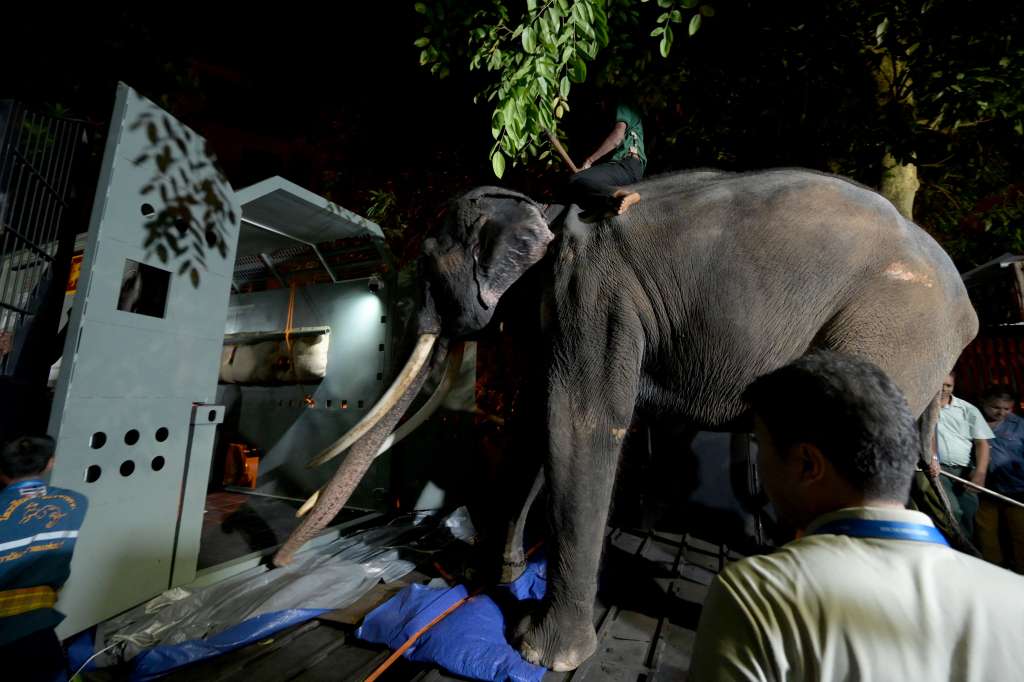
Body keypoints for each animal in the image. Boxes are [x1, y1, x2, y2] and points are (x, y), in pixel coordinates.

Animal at [273, 168, 978, 671]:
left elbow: (577, 423)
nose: (276, 563)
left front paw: (541, 652)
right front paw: (489, 578)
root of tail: (965, 311)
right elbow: (533, 425)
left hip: (890, 327)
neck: (543, 210)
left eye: (424, 262)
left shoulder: (594, 295)